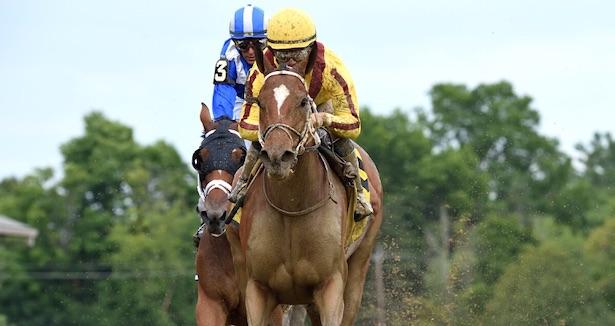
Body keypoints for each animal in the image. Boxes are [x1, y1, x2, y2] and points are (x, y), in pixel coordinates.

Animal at [238, 67, 382, 324]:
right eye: (260, 103)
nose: (277, 156)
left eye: (303, 101)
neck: (292, 207)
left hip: (360, 265)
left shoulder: (331, 286)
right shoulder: (257, 289)